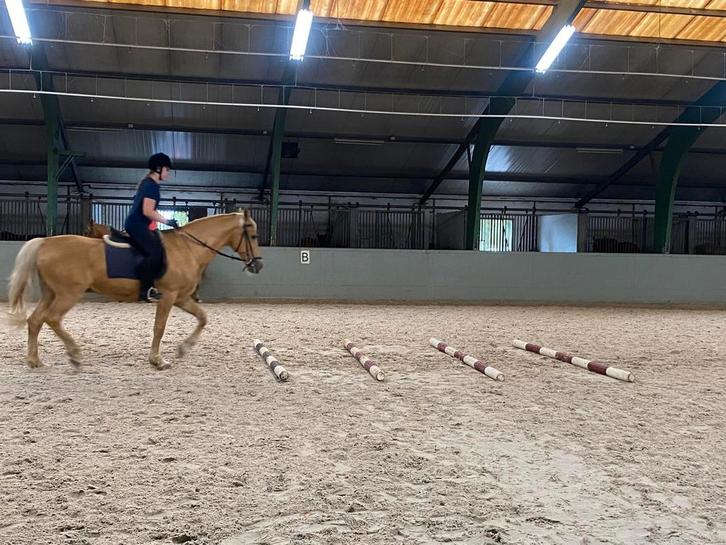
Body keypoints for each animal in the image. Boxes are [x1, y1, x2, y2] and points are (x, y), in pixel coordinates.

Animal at [6, 211, 262, 370]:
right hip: (69, 294)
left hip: (51, 293)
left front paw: (183, 348)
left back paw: (35, 361)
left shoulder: (181, 297)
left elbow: (202, 318)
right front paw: (157, 360)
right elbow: (159, 327)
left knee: (35, 320)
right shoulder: (168, 296)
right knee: (52, 319)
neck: (188, 248)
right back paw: (75, 354)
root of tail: (45, 242)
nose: (257, 265)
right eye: (252, 235)